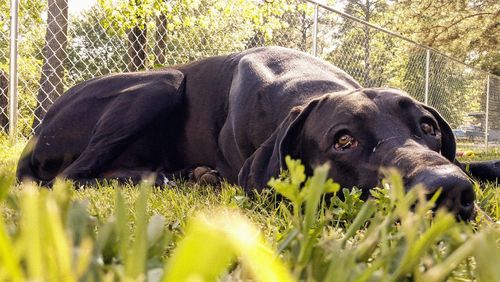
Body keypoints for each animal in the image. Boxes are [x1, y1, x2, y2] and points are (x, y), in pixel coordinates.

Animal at [16, 46, 500, 219]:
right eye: (344, 140)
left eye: (428, 127)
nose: (451, 190)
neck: (306, 83)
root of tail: (37, 131)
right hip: (162, 81)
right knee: (70, 176)